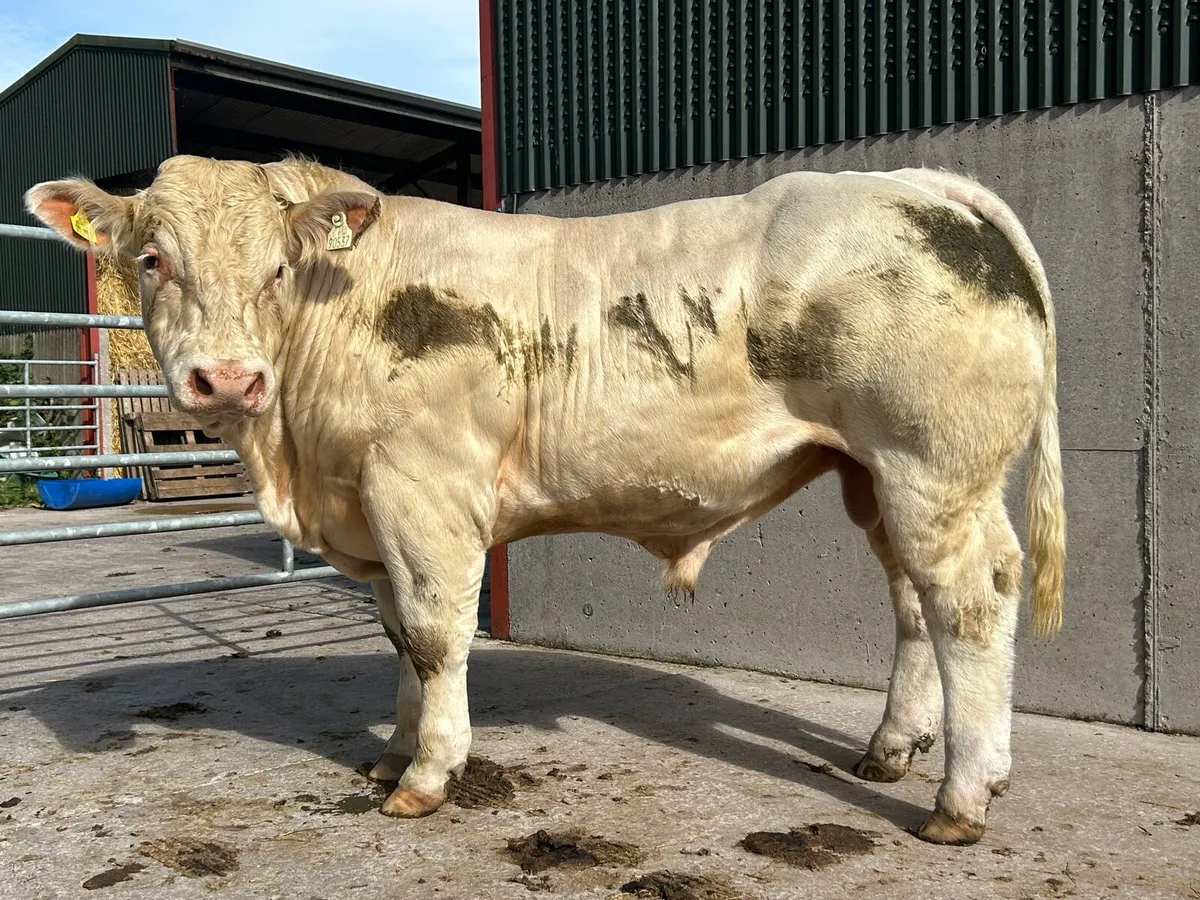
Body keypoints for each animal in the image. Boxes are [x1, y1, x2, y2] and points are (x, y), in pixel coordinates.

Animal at [26, 155, 1065, 846]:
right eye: (152, 259)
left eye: (277, 267)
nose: (226, 379)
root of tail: (920, 182)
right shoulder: (372, 504)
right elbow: (398, 635)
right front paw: (394, 748)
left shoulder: (422, 488)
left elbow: (436, 635)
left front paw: (428, 774)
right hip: (877, 476)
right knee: (916, 602)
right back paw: (893, 749)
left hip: (932, 467)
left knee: (969, 601)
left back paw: (961, 796)